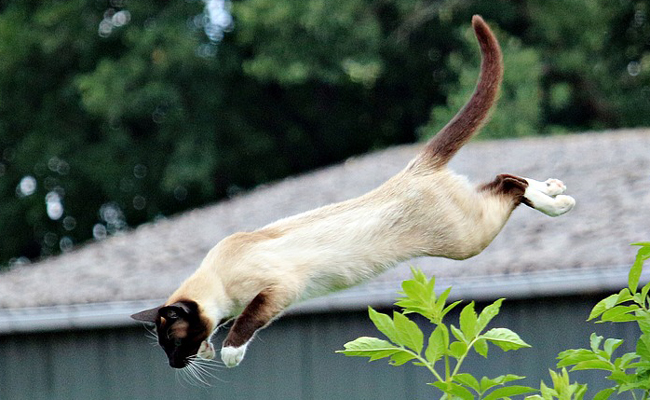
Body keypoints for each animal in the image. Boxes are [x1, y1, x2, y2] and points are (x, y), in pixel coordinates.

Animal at [130, 15, 572, 372]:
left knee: (510, 186)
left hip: (466, 241)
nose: (173, 365)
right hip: (470, 225)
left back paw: (560, 202)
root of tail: (415, 168)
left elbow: (244, 322)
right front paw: (213, 348)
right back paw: (555, 190)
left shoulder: (277, 291)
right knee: (504, 179)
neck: (218, 278)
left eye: (173, 343)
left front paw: (229, 353)